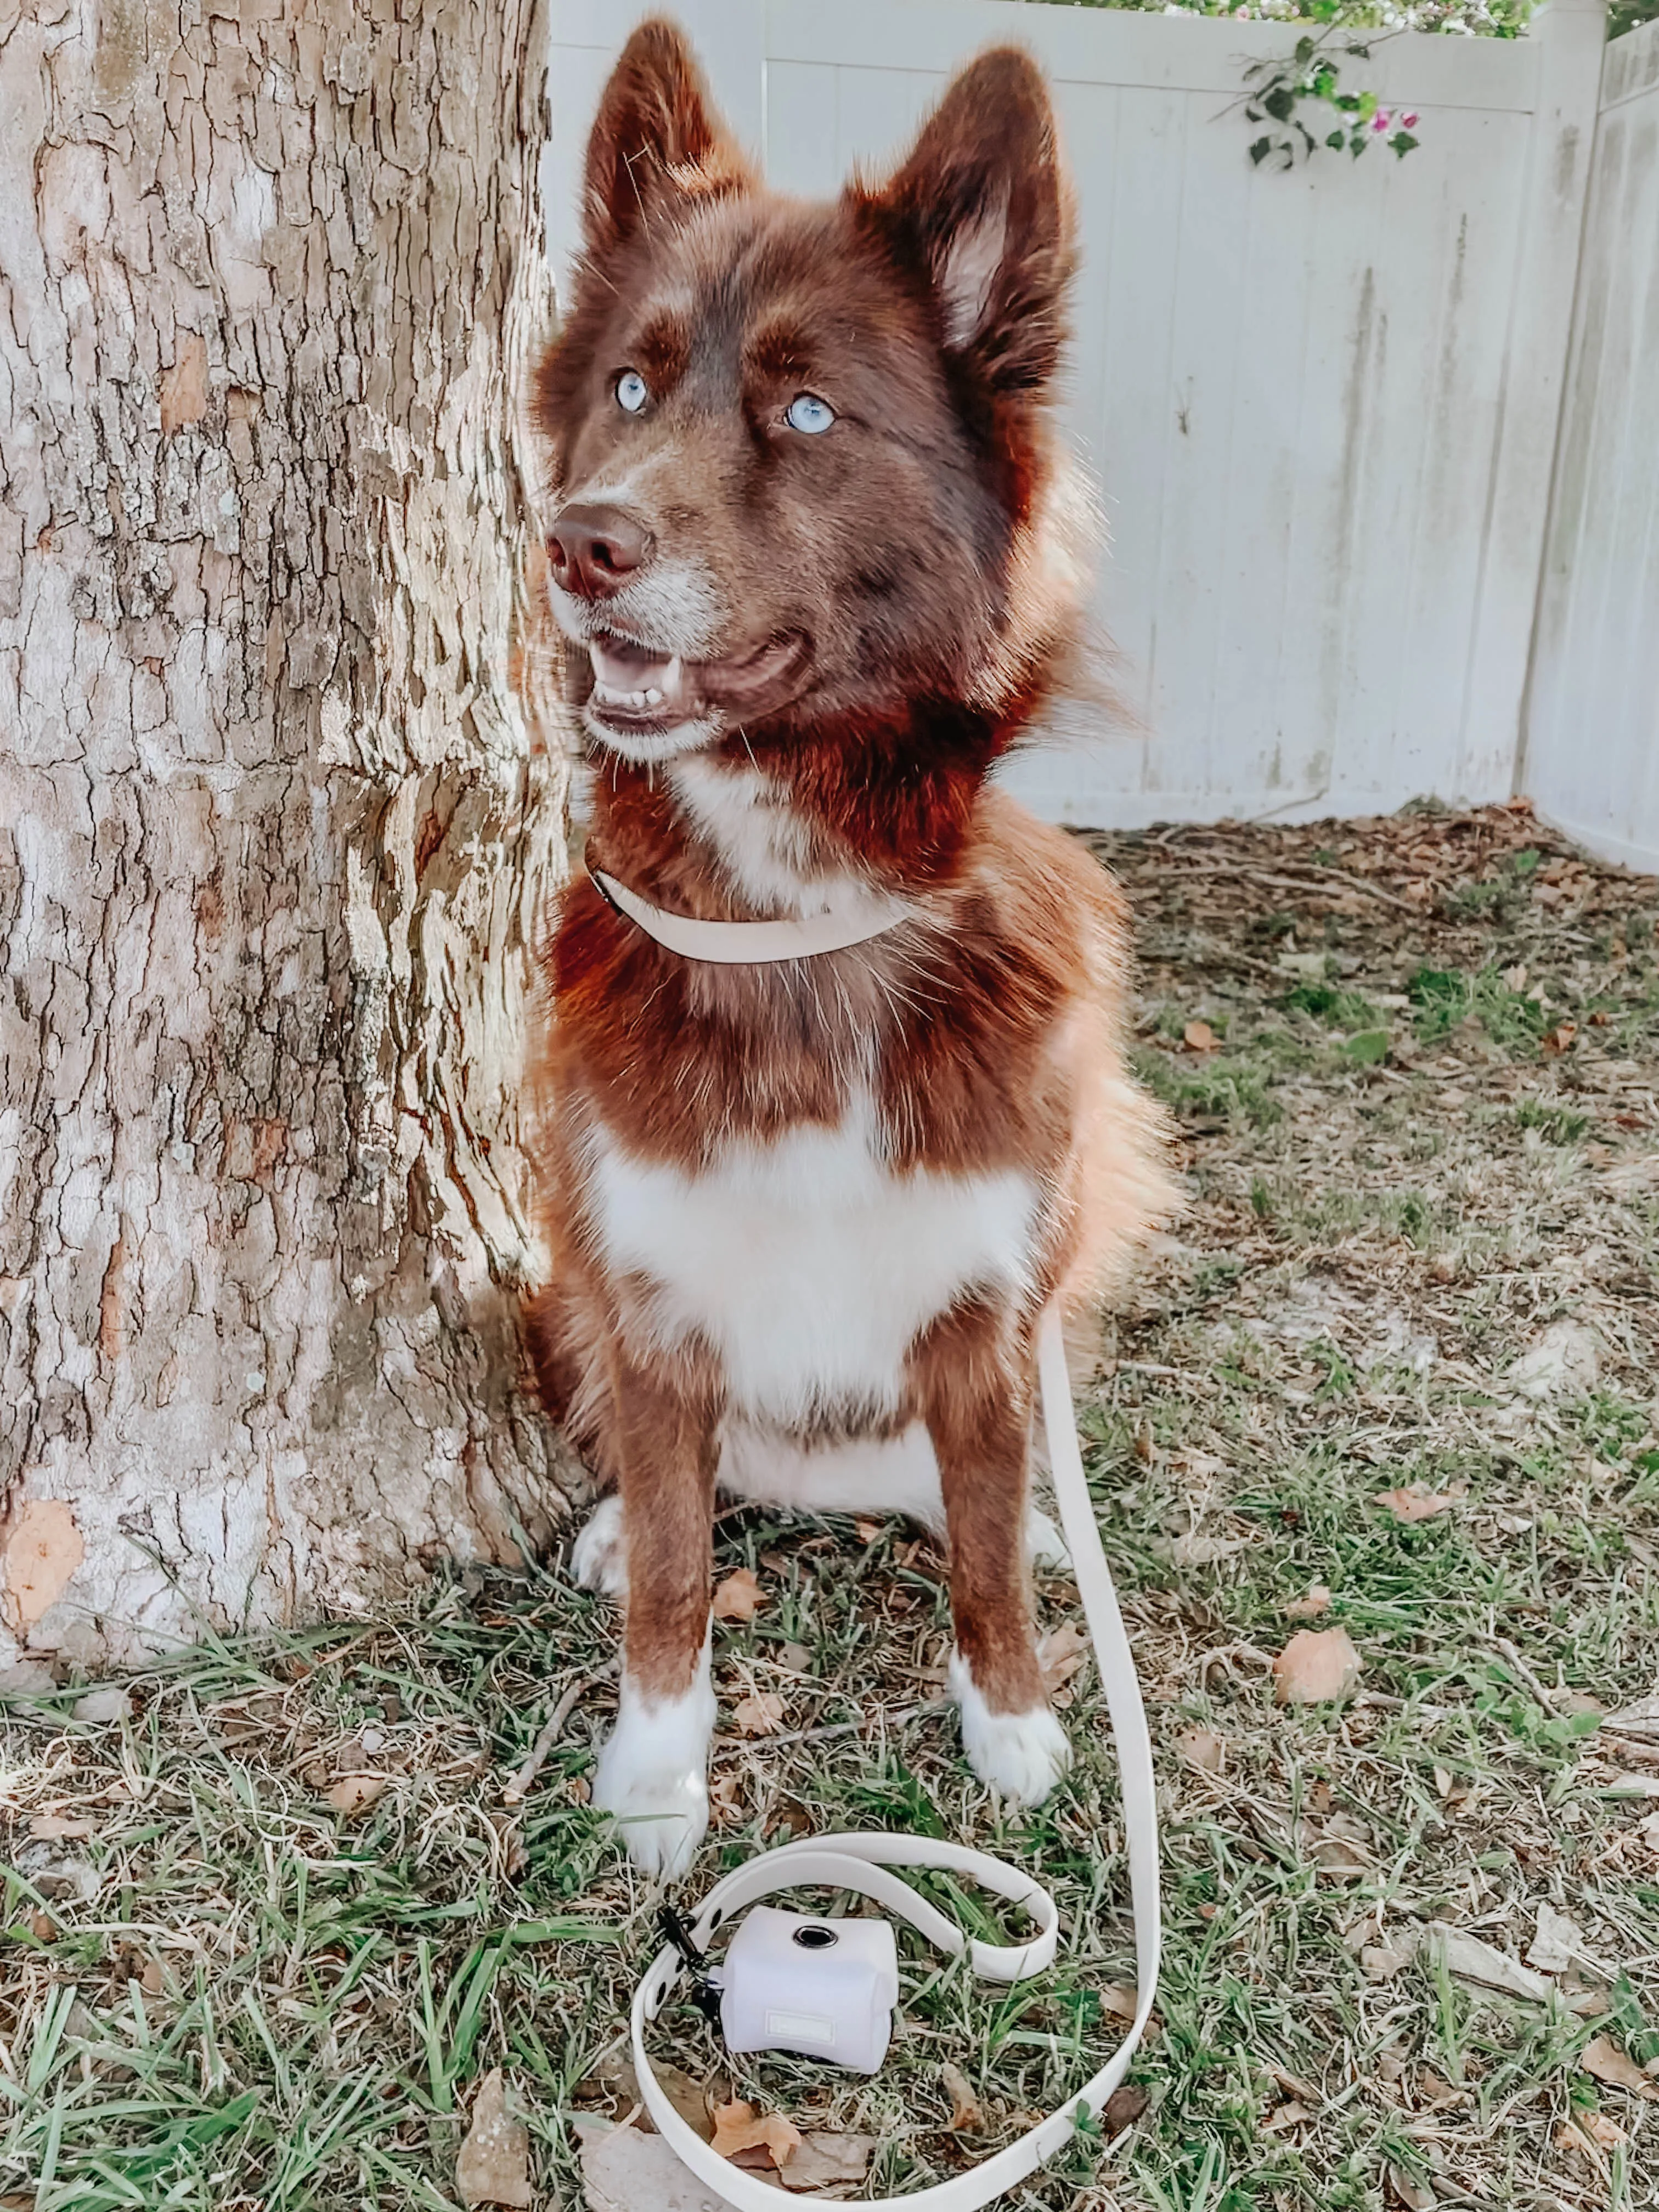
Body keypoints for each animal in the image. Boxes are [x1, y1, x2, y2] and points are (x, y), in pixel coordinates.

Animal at [528, 26, 1167, 1876]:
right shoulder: (646, 1294)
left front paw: (1011, 1720)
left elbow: (989, 1539)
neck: (793, 924)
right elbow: (680, 1564)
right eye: (632, 390)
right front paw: (659, 1775)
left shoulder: (991, 1306)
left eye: (808, 414)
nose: (581, 544)